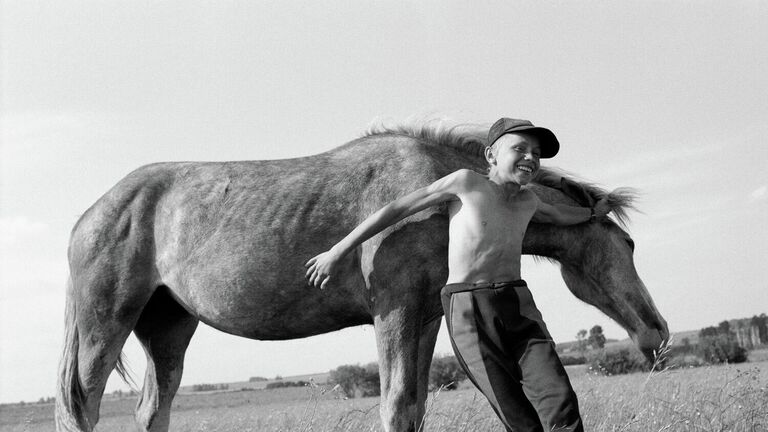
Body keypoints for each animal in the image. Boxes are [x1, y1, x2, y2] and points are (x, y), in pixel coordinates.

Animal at [55, 120, 664, 432]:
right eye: (629, 243)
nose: (657, 334)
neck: (443, 197)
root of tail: (87, 216)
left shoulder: (425, 316)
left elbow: (414, 406)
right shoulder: (393, 311)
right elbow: (394, 405)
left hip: (168, 327)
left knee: (151, 409)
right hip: (105, 325)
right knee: (79, 406)